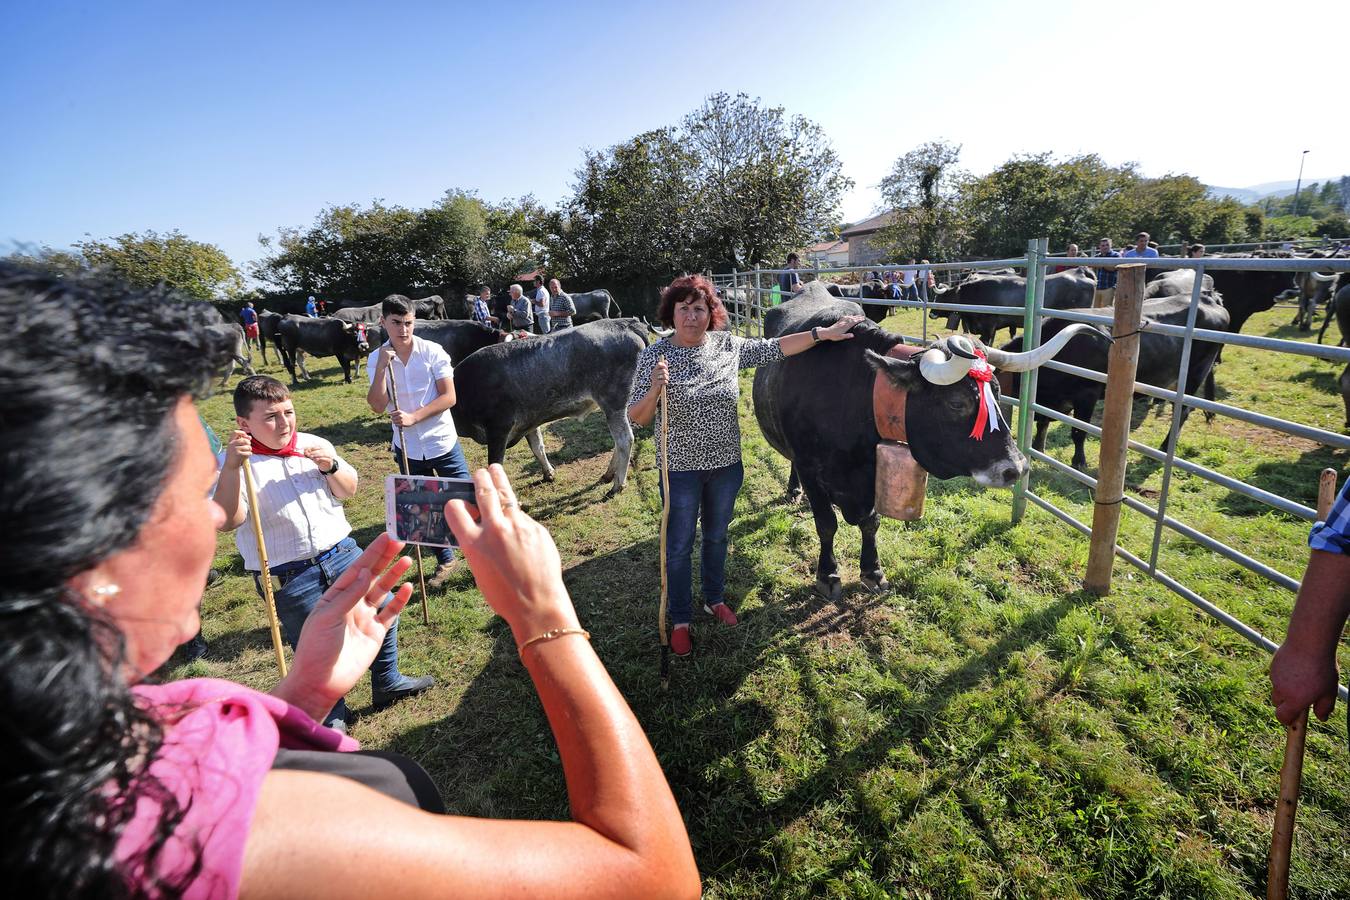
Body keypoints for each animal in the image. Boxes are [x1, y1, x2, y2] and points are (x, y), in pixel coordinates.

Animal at [448, 318, 648, 499]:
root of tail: (626, 323)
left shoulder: (498, 428)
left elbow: (495, 465)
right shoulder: (529, 421)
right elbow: (538, 447)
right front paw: (548, 473)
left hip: (613, 404)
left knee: (624, 440)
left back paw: (617, 484)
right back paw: (608, 474)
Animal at [750, 284, 1096, 601]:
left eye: (997, 392)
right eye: (957, 403)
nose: (1017, 468)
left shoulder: (873, 474)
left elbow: (871, 523)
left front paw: (872, 571)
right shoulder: (811, 467)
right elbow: (826, 523)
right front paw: (828, 575)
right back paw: (794, 490)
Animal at [999, 292, 1231, 472]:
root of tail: (1210, 298)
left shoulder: (1087, 394)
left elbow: (1078, 432)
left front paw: (1079, 462)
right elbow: (1043, 422)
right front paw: (1038, 448)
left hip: (1196, 373)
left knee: (1182, 411)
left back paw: (1165, 447)